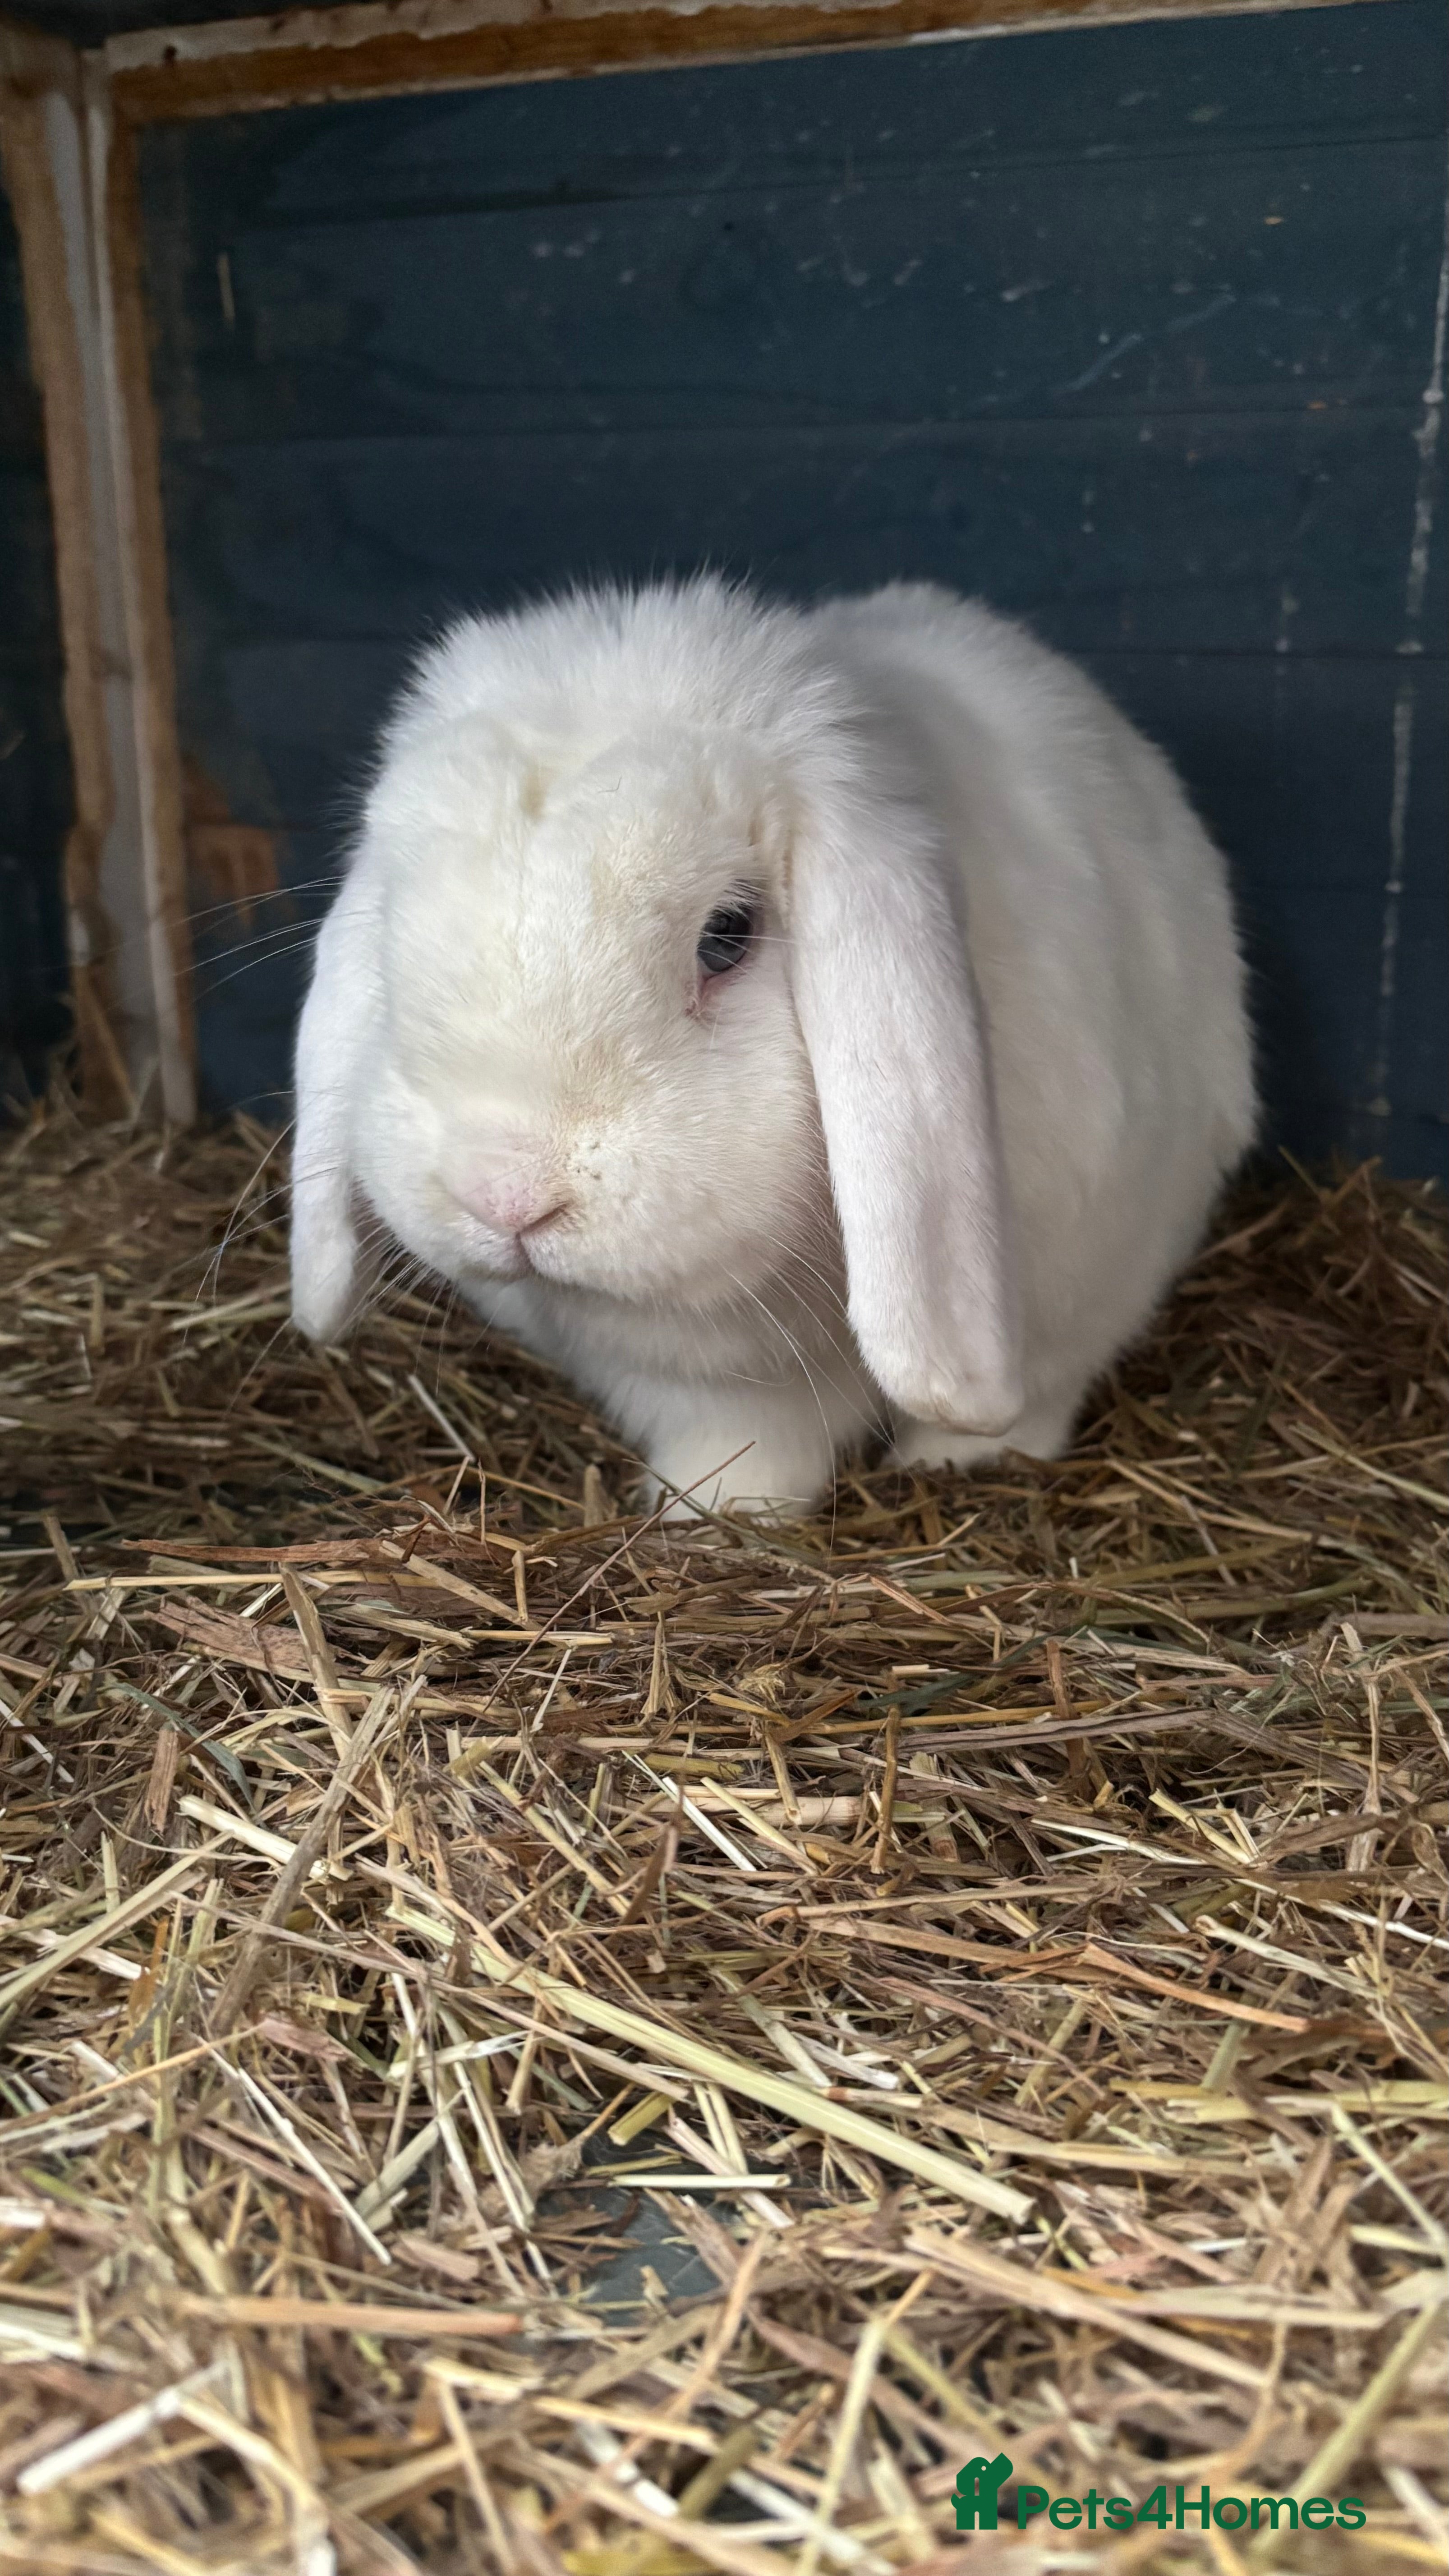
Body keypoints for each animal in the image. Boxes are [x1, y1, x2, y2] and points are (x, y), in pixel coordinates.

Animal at [290, 577, 1255, 1515]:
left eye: (727, 936)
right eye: (392, 929)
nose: (505, 1196)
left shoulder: (1085, 1279)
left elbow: (1034, 1395)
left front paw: (961, 1454)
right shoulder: (720, 1394)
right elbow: (745, 1446)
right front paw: (707, 1515)